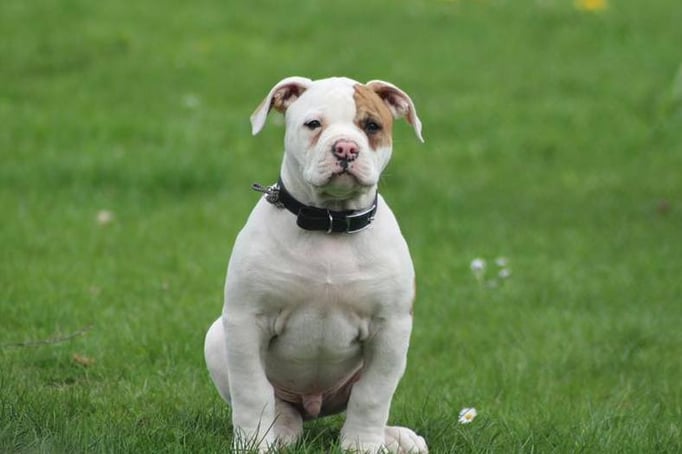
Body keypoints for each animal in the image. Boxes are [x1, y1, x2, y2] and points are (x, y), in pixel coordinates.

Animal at [204, 76, 427, 453]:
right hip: (217, 337)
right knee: (280, 406)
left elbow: (372, 395)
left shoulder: (391, 329)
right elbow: (252, 391)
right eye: (313, 124)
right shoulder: (247, 320)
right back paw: (280, 432)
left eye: (371, 126)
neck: (329, 223)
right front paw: (253, 444)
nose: (346, 149)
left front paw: (362, 444)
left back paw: (396, 437)